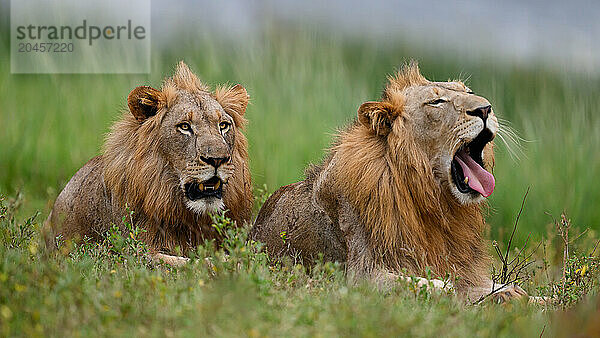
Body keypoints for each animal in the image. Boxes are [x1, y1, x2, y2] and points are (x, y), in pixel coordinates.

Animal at [251, 62, 528, 302]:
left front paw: (514, 294)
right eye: (436, 102)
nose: (485, 109)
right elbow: (427, 284)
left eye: (469, 92)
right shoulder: (360, 275)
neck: (431, 199)